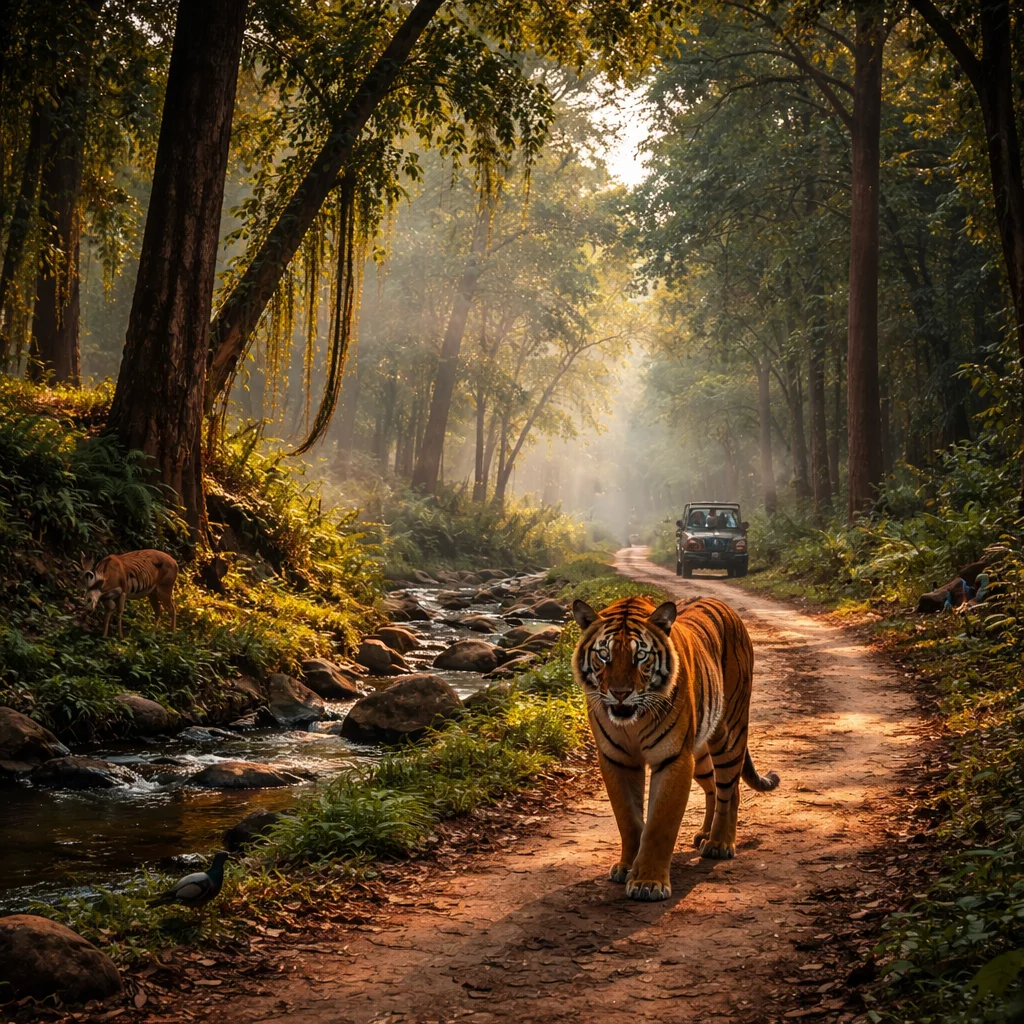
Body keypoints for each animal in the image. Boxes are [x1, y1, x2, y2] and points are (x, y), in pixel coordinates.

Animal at [572, 594, 779, 902]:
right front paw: (626, 867)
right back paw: (705, 834)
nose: (620, 694)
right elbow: (628, 819)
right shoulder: (616, 759)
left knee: (730, 790)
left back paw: (719, 843)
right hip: (700, 753)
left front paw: (648, 882)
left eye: (640, 656)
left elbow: (660, 823)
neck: (632, 722)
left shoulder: (674, 759)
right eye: (604, 655)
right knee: (713, 787)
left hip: (729, 734)